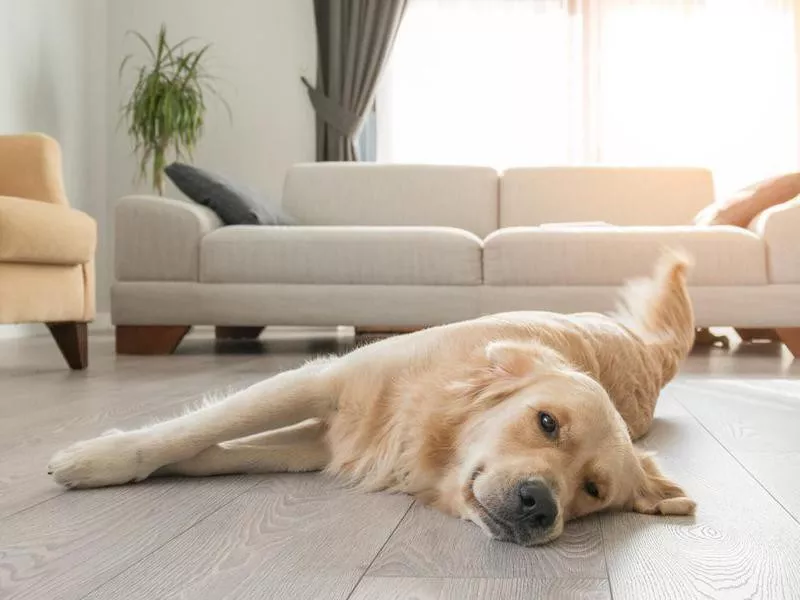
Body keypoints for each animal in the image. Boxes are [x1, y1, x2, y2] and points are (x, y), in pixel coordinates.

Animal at [51, 252, 700, 544]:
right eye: (546, 423)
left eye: (592, 491)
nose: (541, 505)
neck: (433, 434)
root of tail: (648, 352)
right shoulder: (321, 384)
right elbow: (195, 429)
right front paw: (99, 458)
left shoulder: (321, 445)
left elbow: (219, 450)